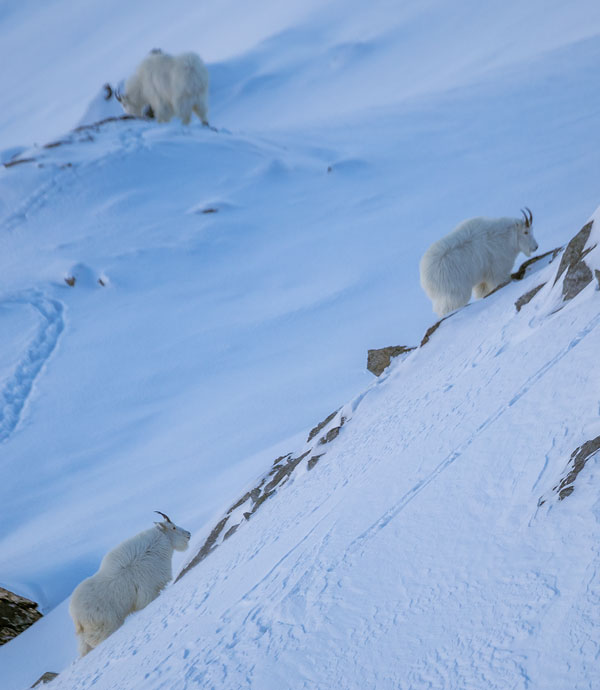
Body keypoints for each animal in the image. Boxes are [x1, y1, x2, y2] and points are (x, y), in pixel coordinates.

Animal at [70, 510, 192, 656]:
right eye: (173, 527)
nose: (188, 534)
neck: (151, 551)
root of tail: (76, 617)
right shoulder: (148, 594)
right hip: (104, 630)